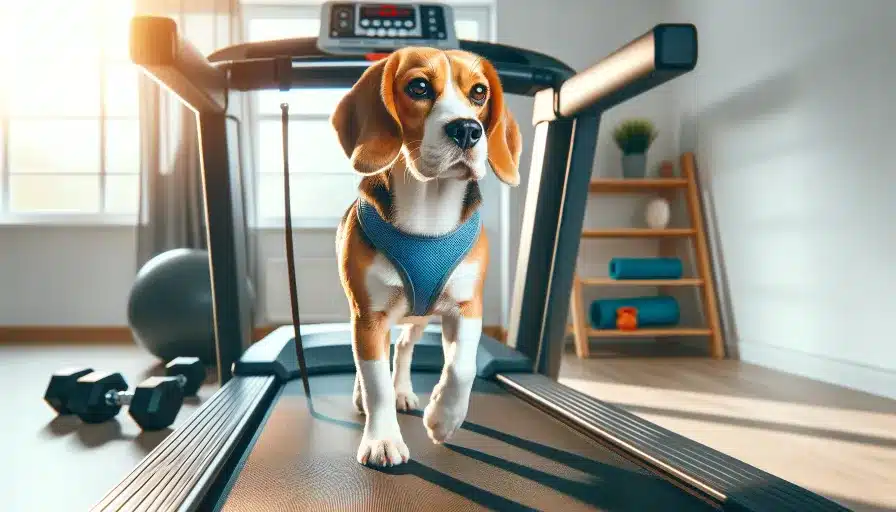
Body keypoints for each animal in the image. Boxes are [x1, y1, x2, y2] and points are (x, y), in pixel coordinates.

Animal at [332, 49, 520, 468]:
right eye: (418, 87)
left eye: (479, 92)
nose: (467, 130)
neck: (428, 213)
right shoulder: (368, 317)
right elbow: (375, 383)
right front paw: (383, 440)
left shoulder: (467, 307)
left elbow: (463, 367)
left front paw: (442, 419)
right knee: (371, 364)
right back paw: (364, 396)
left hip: (420, 318)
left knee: (405, 347)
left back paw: (406, 390)